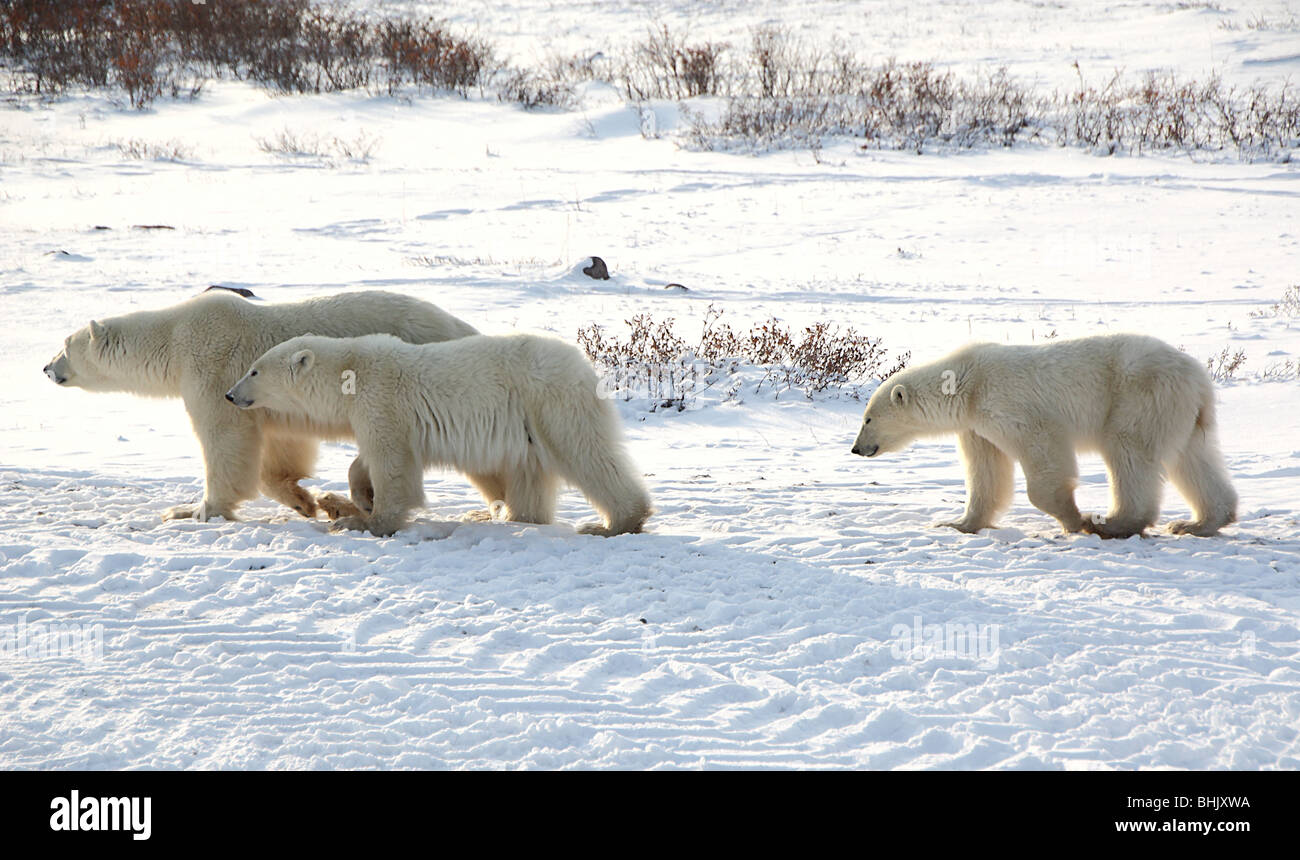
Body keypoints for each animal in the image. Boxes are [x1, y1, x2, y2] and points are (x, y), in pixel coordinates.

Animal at [45, 289, 486, 522]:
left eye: (65, 345)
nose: (47, 368)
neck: (173, 337)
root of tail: (465, 328)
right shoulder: (264, 396)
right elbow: (281, 446)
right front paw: (303, 500)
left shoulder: (211, 367)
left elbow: (225, 437)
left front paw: (193, 510)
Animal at [223, 331, 655, 540]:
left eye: (254, 370)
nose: (229, 394)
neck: (350, 371)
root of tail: (582, 364)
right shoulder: (377, 413)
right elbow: (369, 457)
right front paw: (356, 497)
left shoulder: (383, 399)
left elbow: (393, 464)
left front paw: (366, 521)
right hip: (528, 427)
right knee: (529, 474)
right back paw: (513, 515)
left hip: (549, 402)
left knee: (586, 452)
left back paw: (613, 522)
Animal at [852, 331, 1237, 540]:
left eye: (868, 418)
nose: (856, 449)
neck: (967, 383)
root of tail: (1198, 378)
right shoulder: (977, 426)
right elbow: (986, 472)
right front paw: (958, 523)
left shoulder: (1008, 402)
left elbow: (1042, 451)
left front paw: (1074, 517)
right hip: (1180, 412)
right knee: (1193, 459)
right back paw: (1198, 523)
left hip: (1139, 395)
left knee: (1129, 450)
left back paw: (1111, 523)